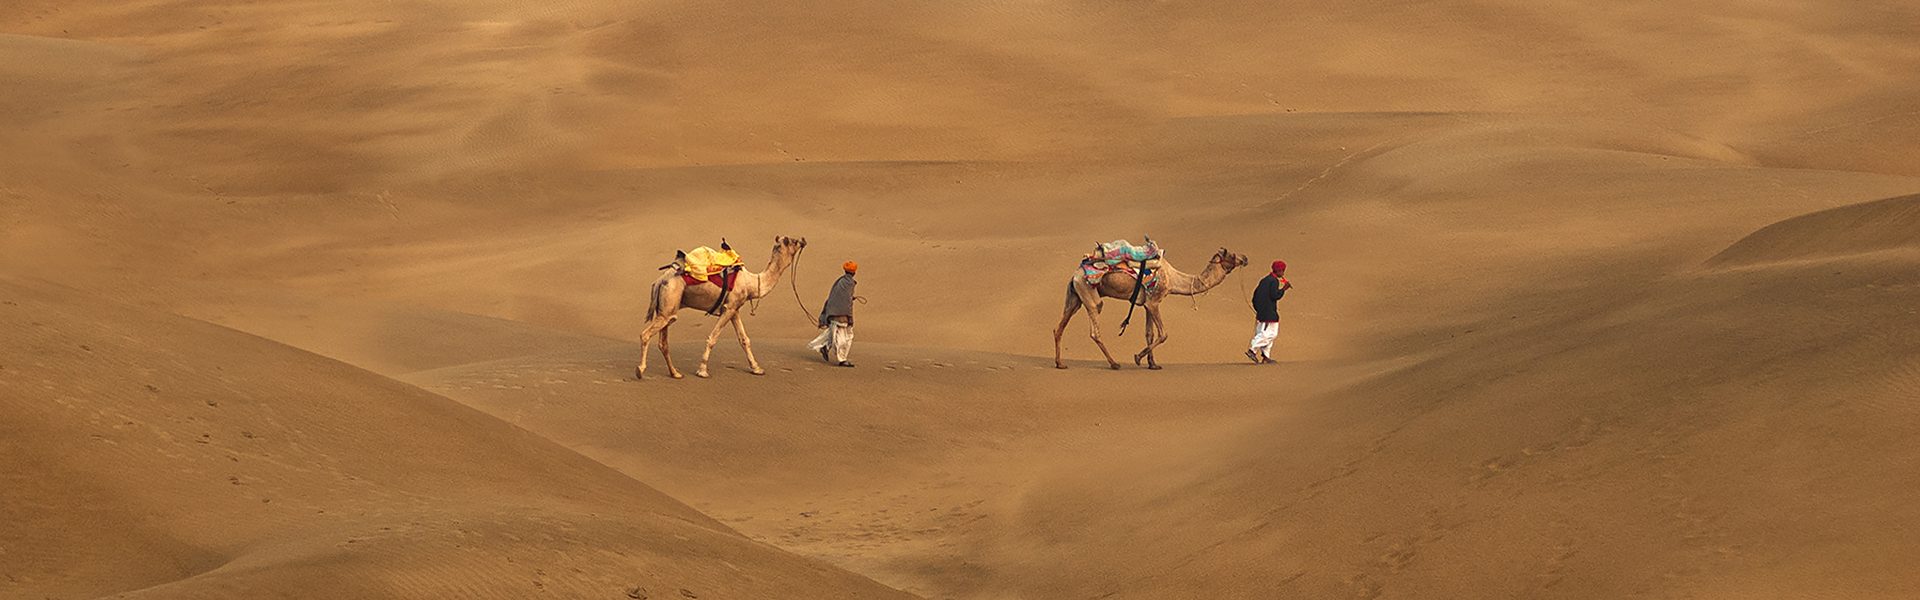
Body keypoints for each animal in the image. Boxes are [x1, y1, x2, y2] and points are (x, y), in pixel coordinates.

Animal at [637, 235, 802, 378]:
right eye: (793, 241)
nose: (803, 240)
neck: (751, 283)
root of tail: (659, 280)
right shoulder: (729, 308)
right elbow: (713, 337)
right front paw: (702, 371)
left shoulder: (734, 309)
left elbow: (744, 339)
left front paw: (757, 368)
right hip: (669, 301)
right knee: (645, 334)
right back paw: (640, 370)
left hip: (667, 309)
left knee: (663, 342)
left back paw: (675, 373)